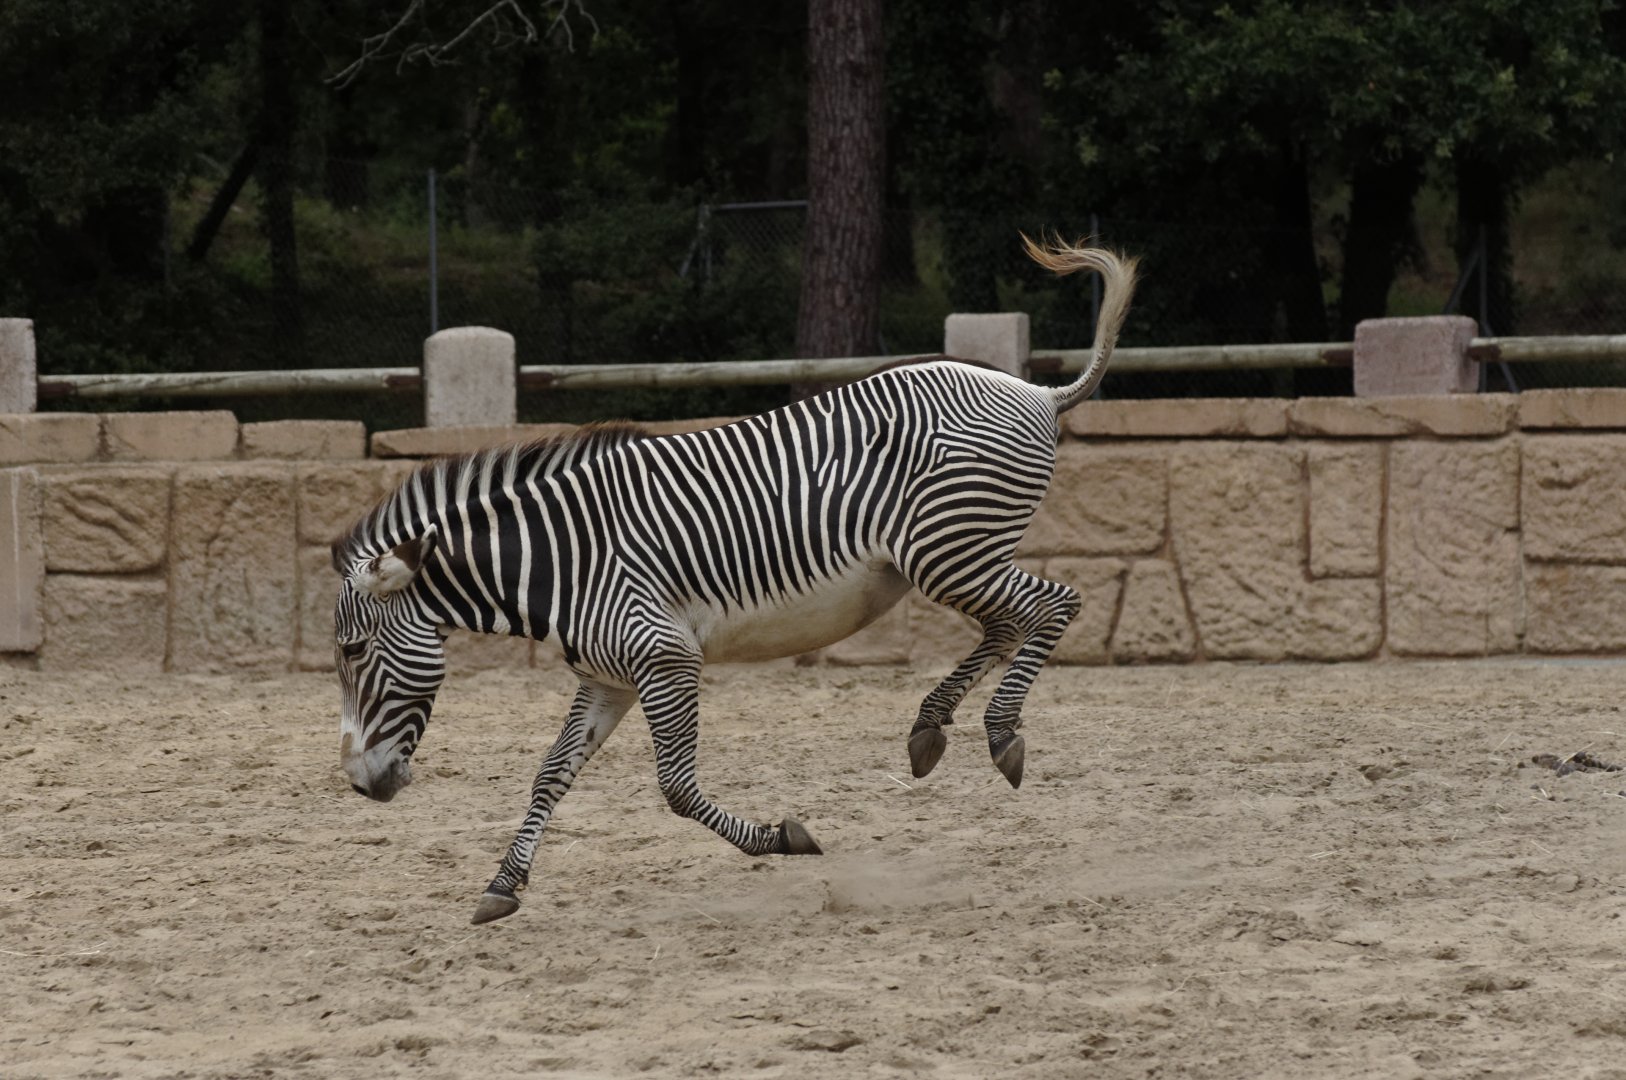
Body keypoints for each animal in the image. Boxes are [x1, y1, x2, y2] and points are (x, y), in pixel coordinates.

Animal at [330, 235, 1137, 924]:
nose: (360, 787)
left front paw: (786, 838)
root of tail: (1037, 393)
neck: (564, 563)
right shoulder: (608, 678)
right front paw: (503, 885)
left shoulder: (665, 657)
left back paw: (1001, 734)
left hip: (950, 551)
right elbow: (550, 774)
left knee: (1054, 604)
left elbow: (677, 789)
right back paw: (929, 729)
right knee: (1009, 622)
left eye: (351, 652)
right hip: (955, 556)